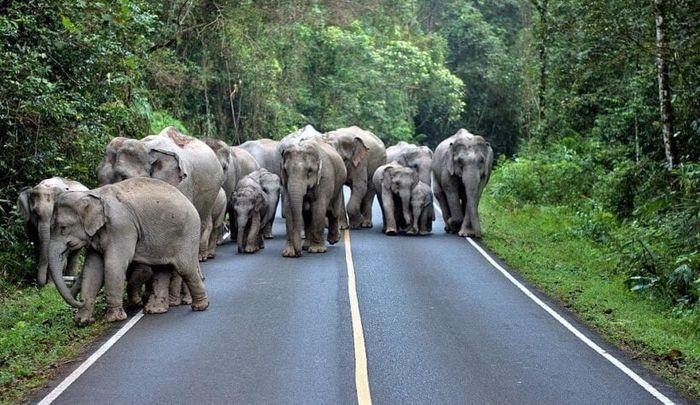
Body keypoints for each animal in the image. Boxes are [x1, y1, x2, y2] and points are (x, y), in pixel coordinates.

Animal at [48, 177, 209, 326]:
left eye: (63, 228)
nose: (80, 300)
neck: (94, 194)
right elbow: (92, 269)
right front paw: (82, 321)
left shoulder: (121, 227)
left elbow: (114, 265)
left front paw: (112, 318)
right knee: (161, 270)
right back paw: (155, 310)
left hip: (187, 234)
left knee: (185, 268)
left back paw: (200, 306)